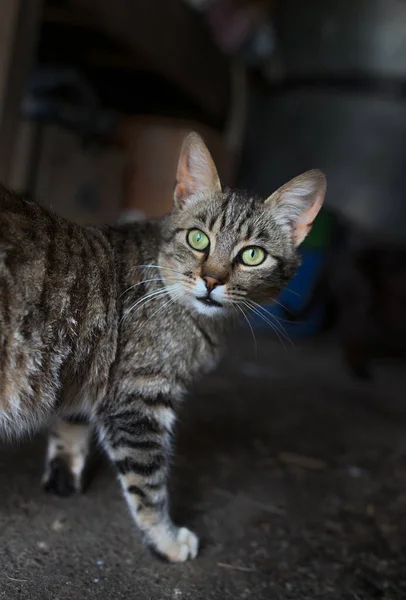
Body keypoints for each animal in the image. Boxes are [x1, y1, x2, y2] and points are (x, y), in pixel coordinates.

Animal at [0, 132, 326, 564]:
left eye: (252, 255)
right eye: (198, 238)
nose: (211, 280)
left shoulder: (87, 375)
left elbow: (70, 423)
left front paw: (64, 474)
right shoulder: (139, 401)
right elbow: (149, 486)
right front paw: (166, 539)